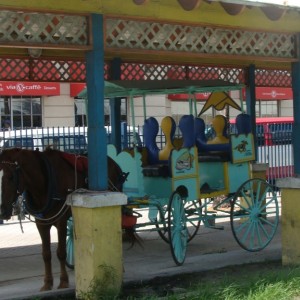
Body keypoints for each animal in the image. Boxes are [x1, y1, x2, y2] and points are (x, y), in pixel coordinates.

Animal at [0, 149, 124, 292]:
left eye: (11, 177)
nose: (2, 211)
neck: (45, 180)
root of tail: (114, 163)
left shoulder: (61, 221)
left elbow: (61, 252)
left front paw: (64, 281)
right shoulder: (41, 223)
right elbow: (46, 254)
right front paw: (48, 283)